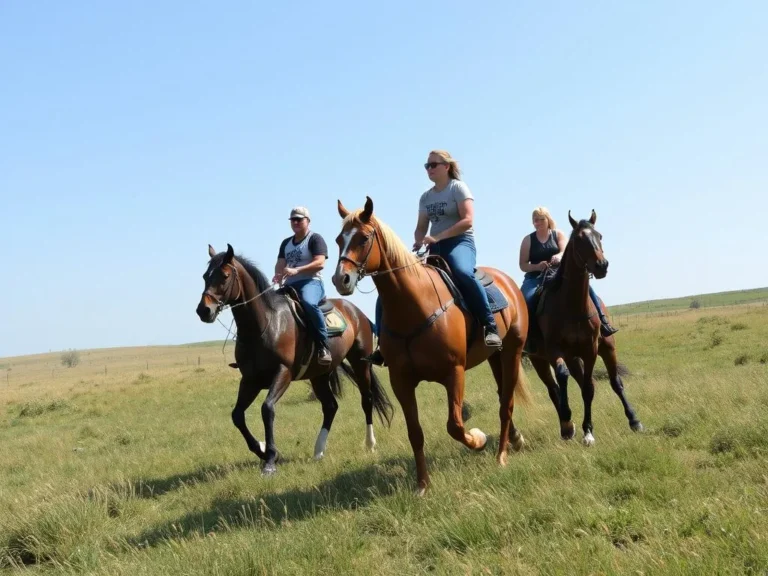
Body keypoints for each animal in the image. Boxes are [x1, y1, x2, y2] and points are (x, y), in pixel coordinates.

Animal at [195, 243, 392, 472]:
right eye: (205, 276)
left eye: (225, 276)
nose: (203, 310)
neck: (266, 323)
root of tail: (356, 311)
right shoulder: (250, 380)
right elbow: (237, 416)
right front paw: (261, 449)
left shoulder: (283, 373)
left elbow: (267, 409)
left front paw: (270, 458)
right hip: (319, 375)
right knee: (330, 407)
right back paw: (318, 451)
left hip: (360, 363)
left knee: (366, 399)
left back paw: (370, 444)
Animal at [332, 198, 536, 496]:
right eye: (339, 239)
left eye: (364, 237)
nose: (340, 280)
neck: (414, 305)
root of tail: (507, 282)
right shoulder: (401, 381)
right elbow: (415, 433)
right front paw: (423, 485)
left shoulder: (454, 372)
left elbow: (455, 425)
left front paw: (478, 439)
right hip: (494, 357)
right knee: (502, 397)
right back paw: (515, 439)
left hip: (512, 351)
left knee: (506, 404)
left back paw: (501, 455)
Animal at [528, 212, 640, 446]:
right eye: (579, 239)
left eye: (600, 235)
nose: (602, 265)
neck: (572, 305)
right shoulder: (554, 351)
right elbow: (563, 378)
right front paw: (569, 421)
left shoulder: (590, 349)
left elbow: (589, 388)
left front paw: (588, 431)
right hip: (540, 359)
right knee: (553, 389)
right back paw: (565, 426)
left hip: (606, 347)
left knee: (614, 382)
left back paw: (634, 420)